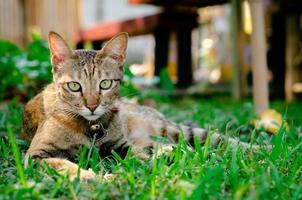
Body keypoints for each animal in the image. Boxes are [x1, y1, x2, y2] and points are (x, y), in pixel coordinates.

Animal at [21, 31, 268, 181]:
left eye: (105, 84)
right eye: (74, 86)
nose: (92, 106)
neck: (91, 128)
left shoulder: (121, 146)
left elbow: (137, 157)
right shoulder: (35, 156)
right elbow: (63, 164)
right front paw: (91, 177)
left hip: (173, 129)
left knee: (220, 140)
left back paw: (261, 150)